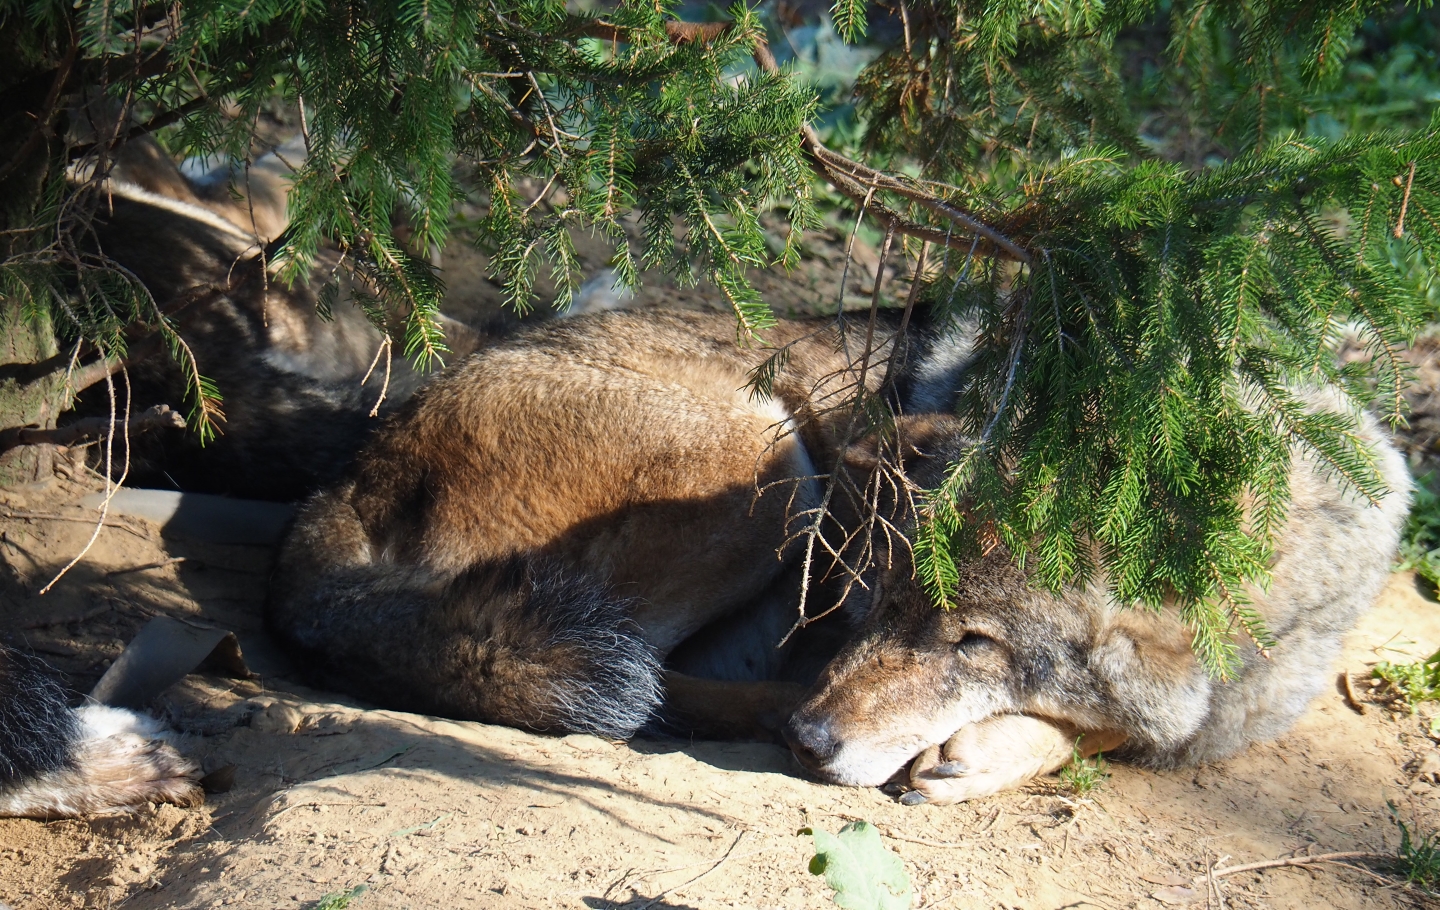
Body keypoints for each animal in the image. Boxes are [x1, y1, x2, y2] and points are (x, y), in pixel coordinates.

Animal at [268, 307, 1407, 799]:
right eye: (877, 601)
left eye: (973, 642)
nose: (814, 741)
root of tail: (349, 477)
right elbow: (1099, 726)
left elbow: (1109, 728)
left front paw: (997, 746)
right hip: (774, 463)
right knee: (645, 679)